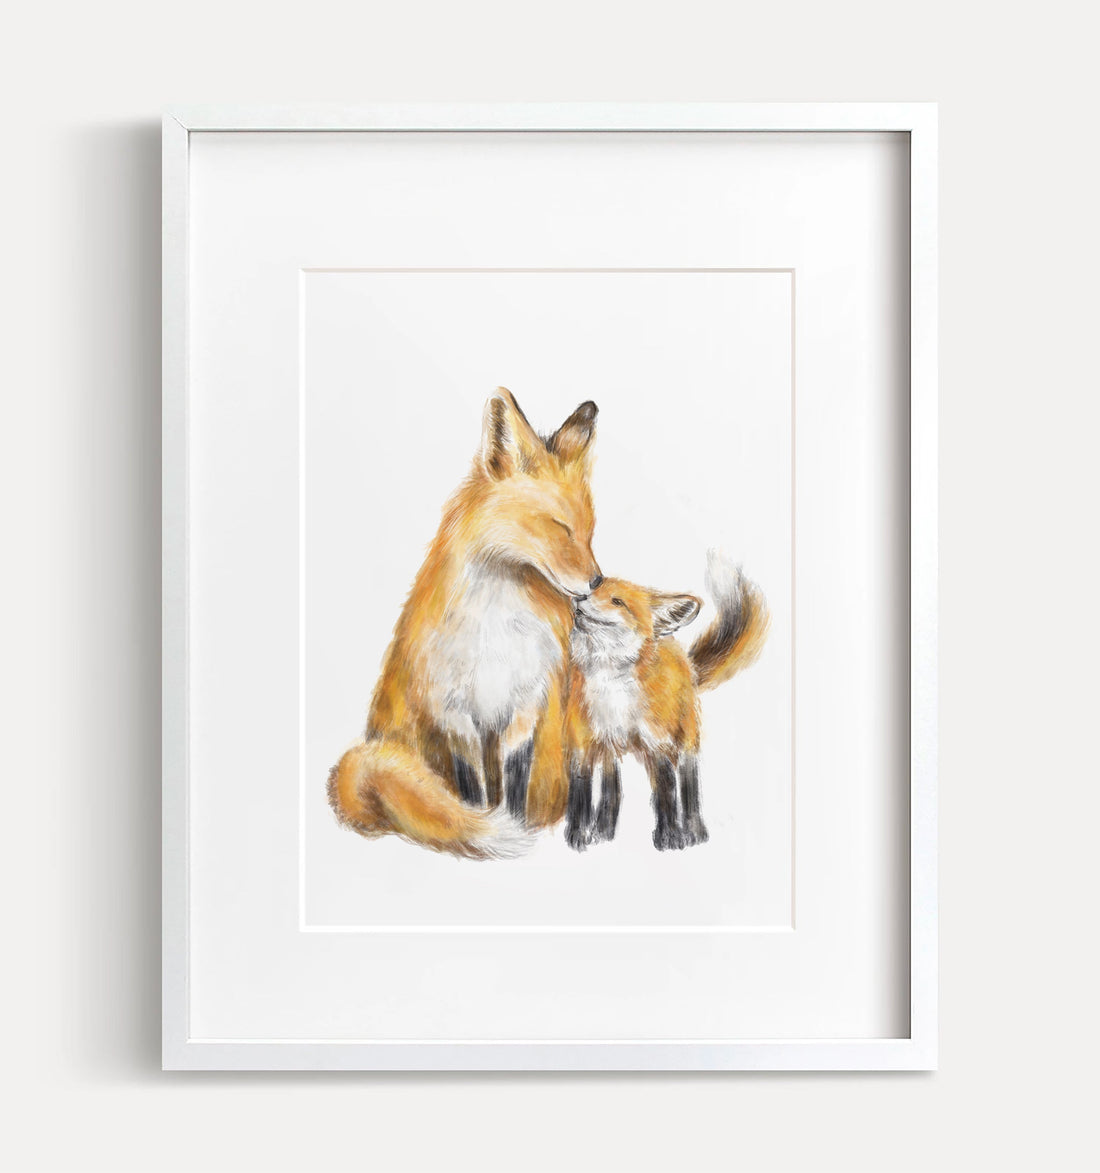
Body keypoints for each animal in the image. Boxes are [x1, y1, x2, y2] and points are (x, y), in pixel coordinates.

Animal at [328, 389, 603, 859]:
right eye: (560, 528)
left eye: (589, 531)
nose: (597, 582)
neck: (497, 626)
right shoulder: (455, 715)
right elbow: (473, 793)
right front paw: (489, 828)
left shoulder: (524, 708)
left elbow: (514, 785)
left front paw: (518, 827)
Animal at [563, 552, 770, 852]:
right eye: (593, 591)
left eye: (617, 601)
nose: (579, 597)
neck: (611, 685)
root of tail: (683, 657)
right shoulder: (582, 744)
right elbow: (580, 797)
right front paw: (578, 836)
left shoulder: (657, 743)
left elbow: (666, 795)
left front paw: (670, 837)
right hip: (610, 751)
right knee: (612, 791)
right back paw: (604, 831)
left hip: (685, 743)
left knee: (688, 785)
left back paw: (695, 831)